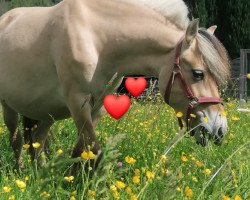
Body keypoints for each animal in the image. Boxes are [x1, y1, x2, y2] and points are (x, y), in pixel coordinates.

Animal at [0, 0, 230, 168]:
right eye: (198, 74)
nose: (220, 129)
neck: (97, 37)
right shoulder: (77, 103)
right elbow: (94, 150)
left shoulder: (99, 105)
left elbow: (81, 149)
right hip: (9, 106)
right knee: (16, 139)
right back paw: (22, 172)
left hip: (47, 113)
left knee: (37, 140)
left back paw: (40, 173)